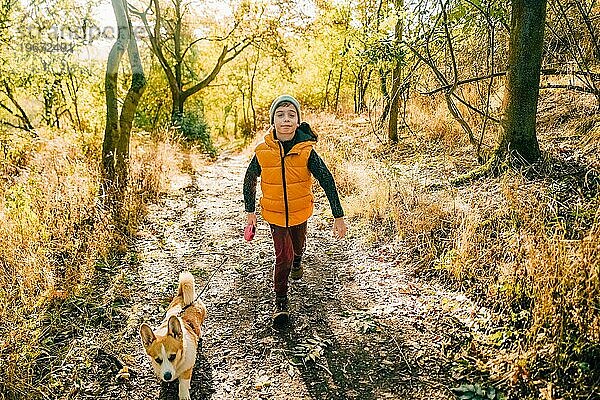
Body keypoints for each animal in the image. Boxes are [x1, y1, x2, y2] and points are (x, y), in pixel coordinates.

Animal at [140, 272, 206, 400]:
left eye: (172, 356)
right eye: (157, 360)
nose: (167, 376)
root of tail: (182, 295)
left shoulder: (187, 369)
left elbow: (184, 383)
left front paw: (184, 394)